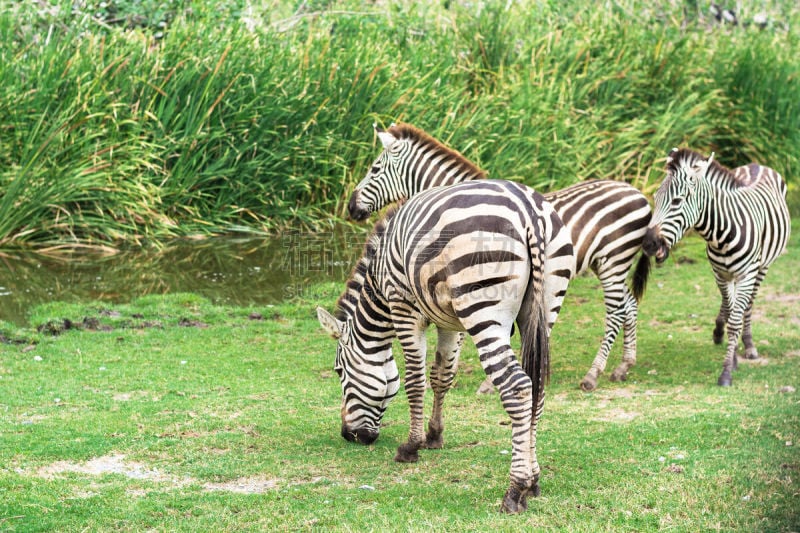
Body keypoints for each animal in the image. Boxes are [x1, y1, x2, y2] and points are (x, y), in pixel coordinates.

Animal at [316, 178, 572, 512]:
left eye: (338, 372)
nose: (348, 435)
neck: (378, 283)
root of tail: (530, 211)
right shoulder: (450, 323)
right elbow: (442, 377)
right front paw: (434, 436)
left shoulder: (404, 308)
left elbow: (415, 381)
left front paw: (410, 447)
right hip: (547, 303)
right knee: (537, 388)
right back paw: (535, 481)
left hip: (483, 306)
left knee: (517, 387)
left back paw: (516, 489)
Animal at [348, 123, 648, 390]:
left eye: (374, 169)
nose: (351, 207)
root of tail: (638, 193)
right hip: (610, 264)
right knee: (630, 304)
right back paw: (624, 365)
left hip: (612, 261)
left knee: (616, 311)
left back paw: (593, 374)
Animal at [640, 148, 792, 384]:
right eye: (655, 198)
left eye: (677, 201)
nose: (648, 243)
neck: (721, 234)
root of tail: (757, 165)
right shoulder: (720, 273)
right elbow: (730, 313)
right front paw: (730, 349)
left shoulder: (746, 274)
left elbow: (736, 319)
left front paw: (727, 370)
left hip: (761, 268)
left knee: (749, 304)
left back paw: (748, 344)